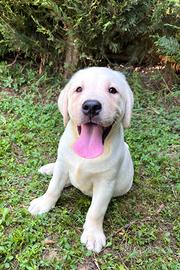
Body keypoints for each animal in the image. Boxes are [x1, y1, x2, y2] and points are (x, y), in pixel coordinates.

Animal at [28, 67, 134, 253]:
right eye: (78, 89)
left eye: (112, 90)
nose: (91, 106)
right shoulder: (63, 165)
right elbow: (53, 187)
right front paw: (44, 203)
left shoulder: (106, 182)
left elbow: (96, 210)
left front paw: (93, 234)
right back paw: (49, 169)